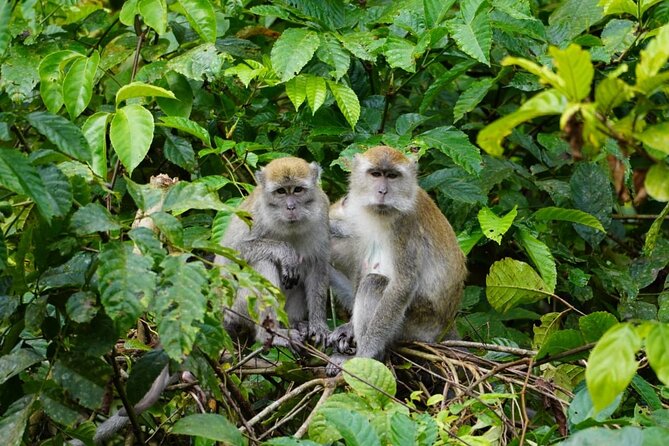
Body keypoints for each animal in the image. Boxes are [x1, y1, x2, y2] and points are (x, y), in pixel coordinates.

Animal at [215, 157, 330, 348]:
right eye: (281, 191)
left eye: (297, 190)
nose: (291, 207)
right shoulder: (256, 214)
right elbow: (232, 250)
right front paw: (286, 252)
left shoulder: (322, 211)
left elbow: (317, 266)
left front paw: (318, 325)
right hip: (238, 308)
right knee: (263, 263)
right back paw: (271, 335)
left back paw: (295, 324)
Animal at [328, 145, 464, 370]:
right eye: (376, 174)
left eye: (392, 176)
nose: (382, 191)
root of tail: (446, 325)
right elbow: (362, 265)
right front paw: (349, 328)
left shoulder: (405, 225)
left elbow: (402, 284)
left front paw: (365, 354)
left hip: (416, 326)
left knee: (374, 283)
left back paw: (374, 355)